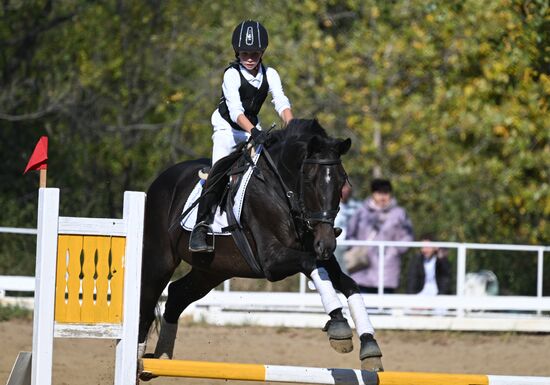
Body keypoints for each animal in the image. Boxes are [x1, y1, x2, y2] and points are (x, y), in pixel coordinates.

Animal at [139, 118, 384, 374]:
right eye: (310, 180)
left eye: (342, 180)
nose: (327, 243)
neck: (282, 191)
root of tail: (160, 181)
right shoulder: (272, 261)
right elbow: (311, 264)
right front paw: (338, 325)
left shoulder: (319, 256)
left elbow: (349, 283)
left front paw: (369, 345)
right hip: (159, 261)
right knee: (146, 302)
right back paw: (139, 358)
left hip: (212, 270)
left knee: (176, 295)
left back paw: (161, 358)